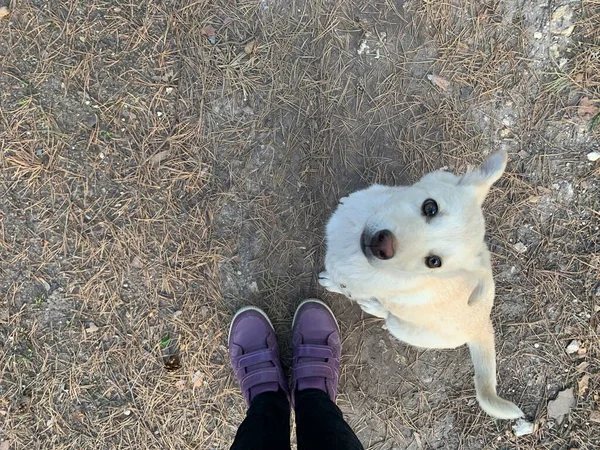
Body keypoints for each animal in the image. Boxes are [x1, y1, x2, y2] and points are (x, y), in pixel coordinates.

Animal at [322, 150, 524, 418]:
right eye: (430, 207)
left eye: (433, 262)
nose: (382, 245)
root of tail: (482, 327)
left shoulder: (351, 283)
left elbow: (341, 284)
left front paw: (330, 282)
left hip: (400, 326)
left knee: (388, 314)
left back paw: (373, 306)